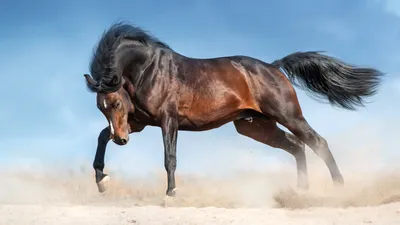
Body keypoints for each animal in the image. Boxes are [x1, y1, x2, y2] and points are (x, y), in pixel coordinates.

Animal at [83, 21, 382, 197]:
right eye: (101, 107)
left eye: (117, 102)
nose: (122, 141)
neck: (148, 69)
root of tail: (274, 66)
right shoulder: (140, 122)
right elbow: (101, 136)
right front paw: (101, 180)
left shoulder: (168, 120)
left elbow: (170, 158)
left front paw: (171, 193)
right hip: (257, 127)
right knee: (297, 146)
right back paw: (301, 190)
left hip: (288, 116)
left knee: (317, 142)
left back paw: (338, 187)